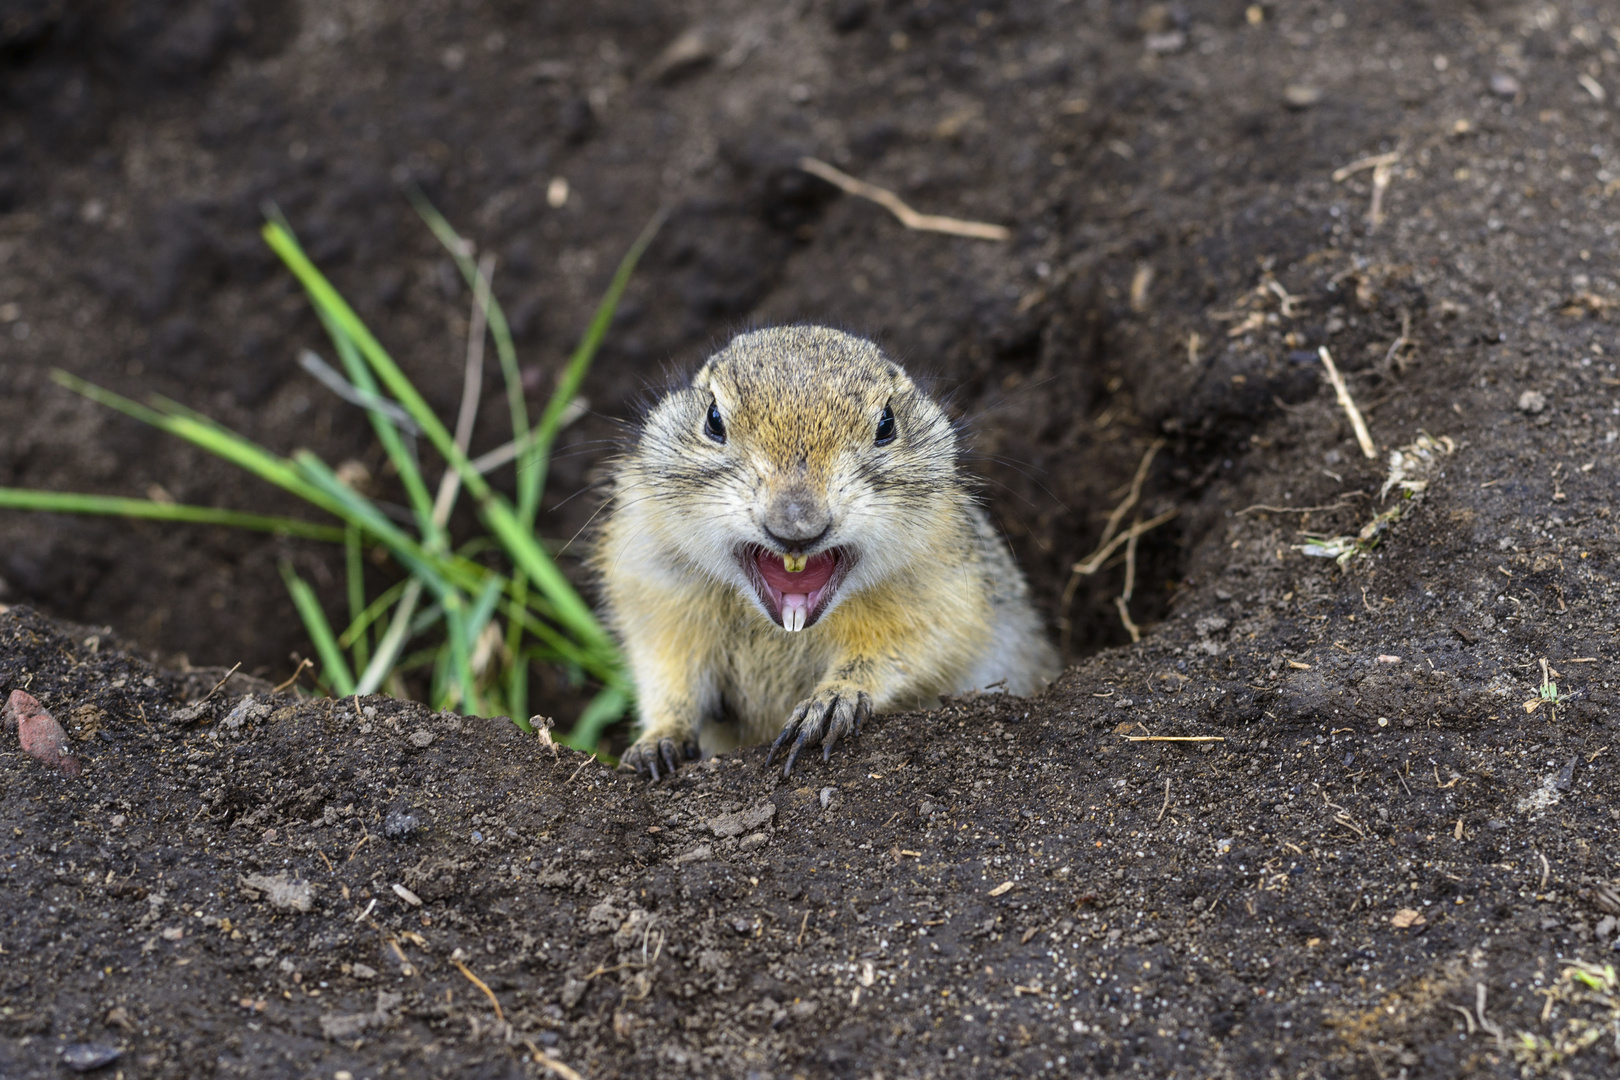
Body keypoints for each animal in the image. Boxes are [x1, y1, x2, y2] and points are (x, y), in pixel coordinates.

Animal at [599, 323, 1062, 777]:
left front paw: (829, 702)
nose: (796, 525)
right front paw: (657, 742)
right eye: (713, 419)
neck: (783, 632)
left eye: (887, 423)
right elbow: (665, 675)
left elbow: (902, 652)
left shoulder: (945, 600)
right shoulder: (657, 598)